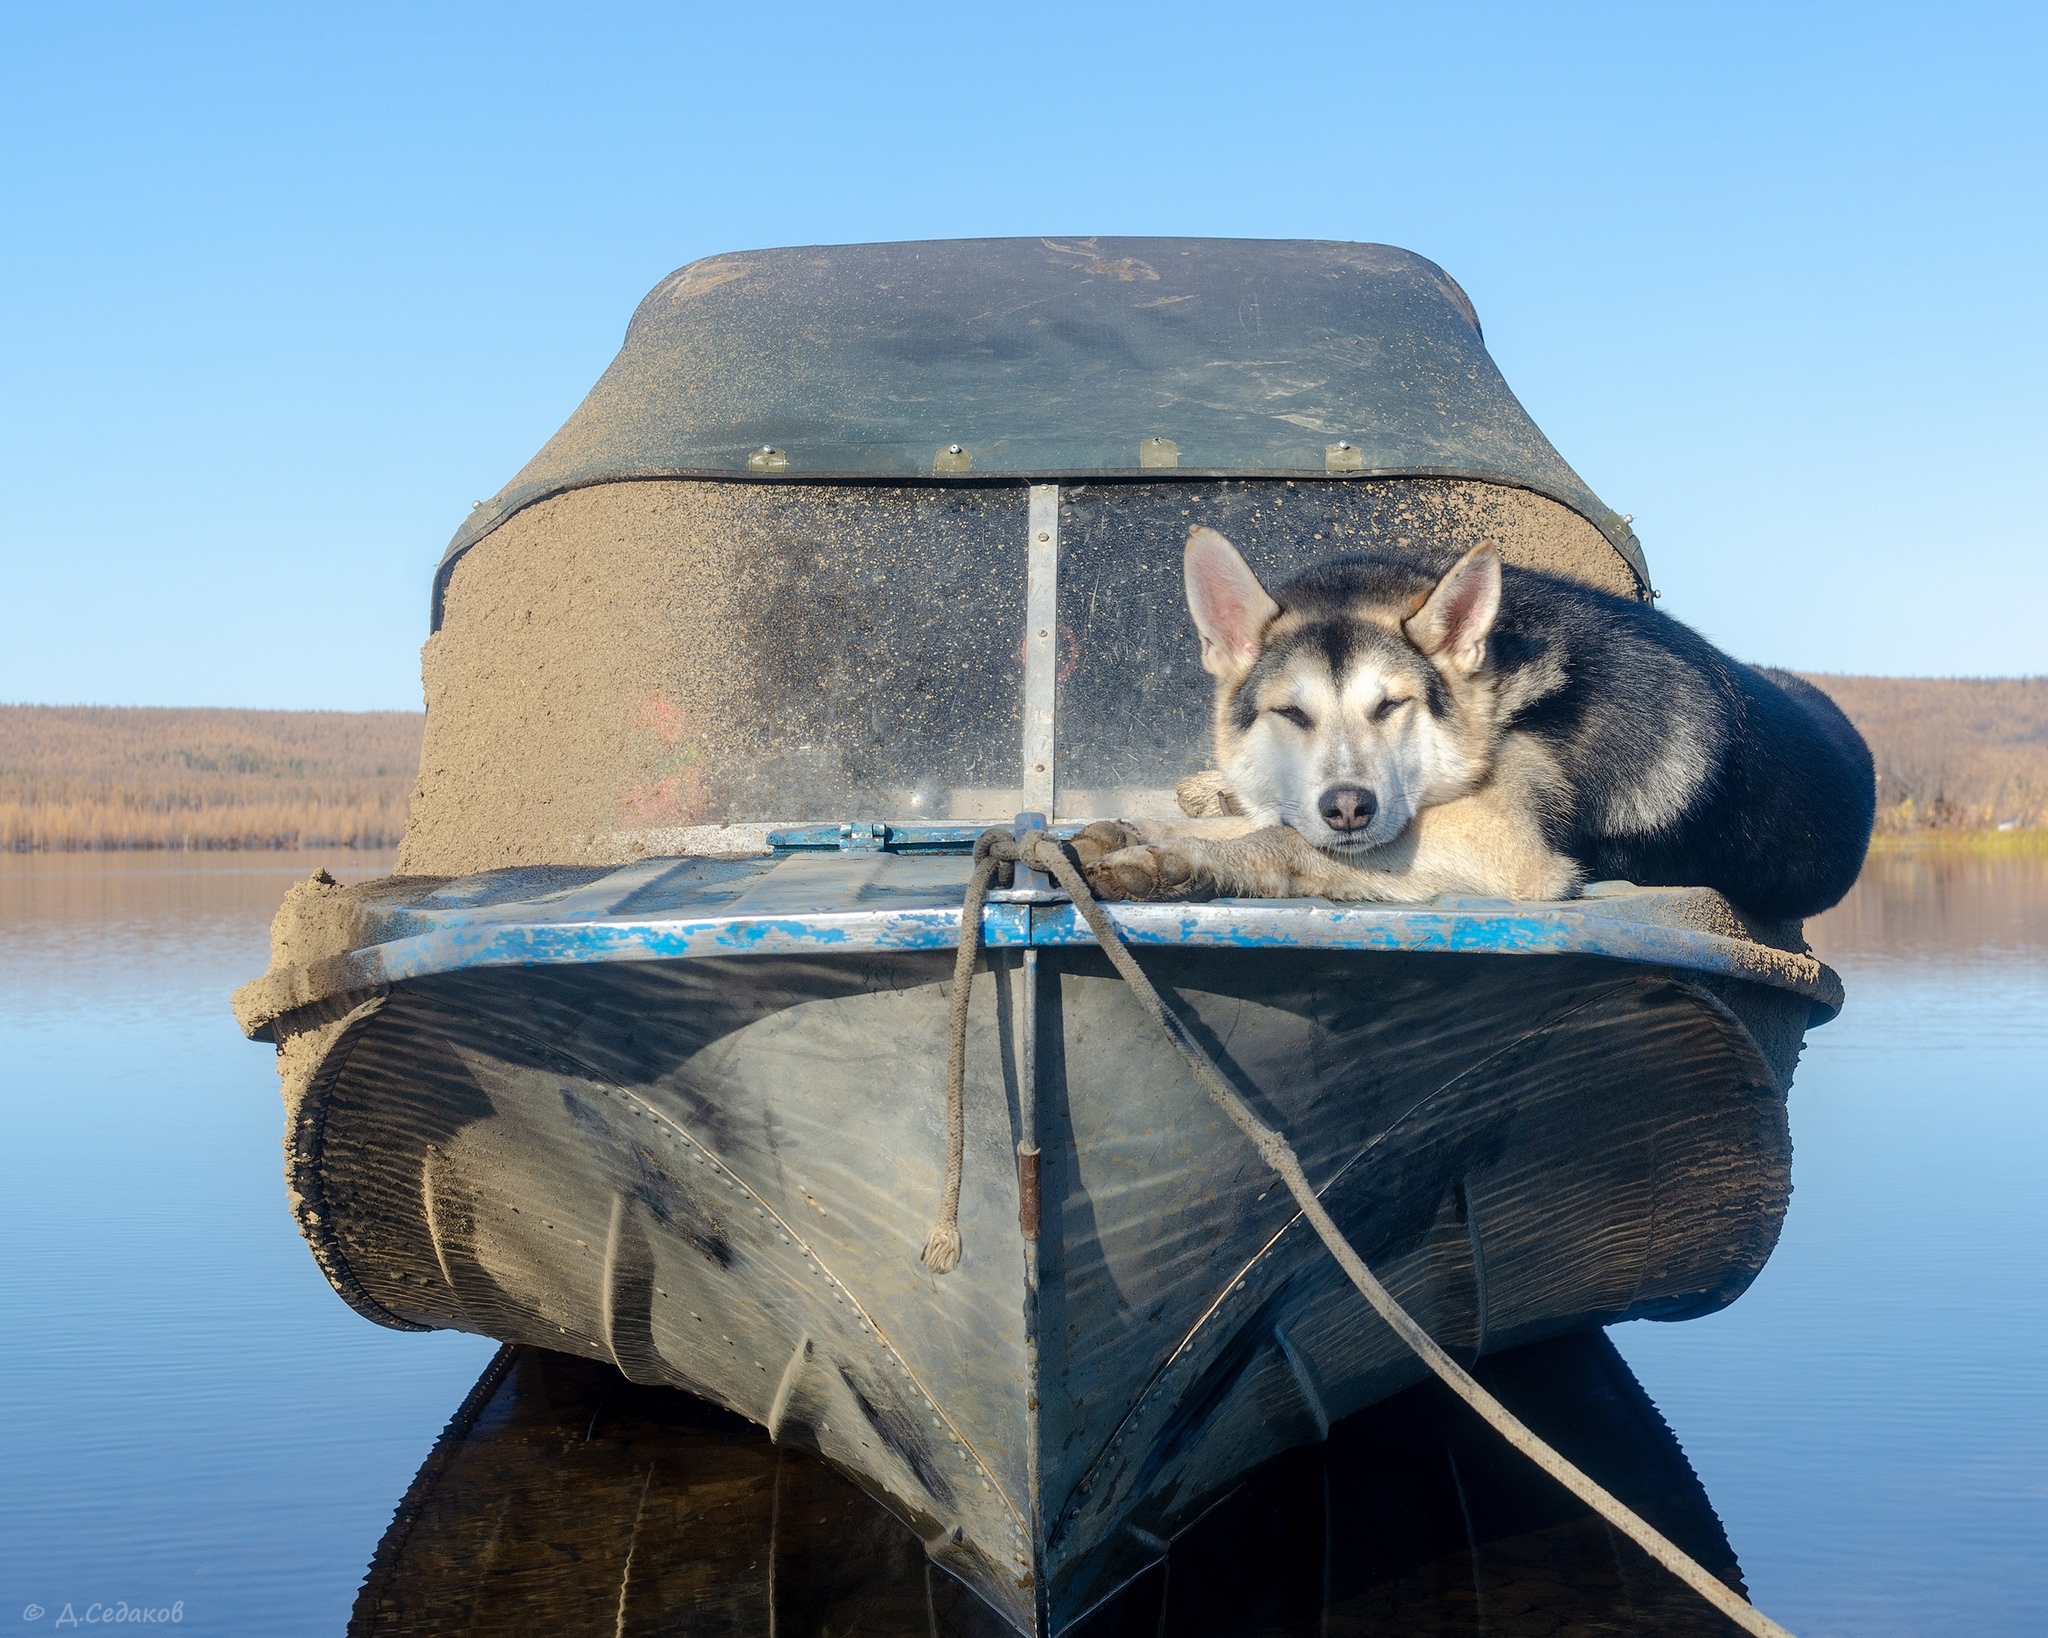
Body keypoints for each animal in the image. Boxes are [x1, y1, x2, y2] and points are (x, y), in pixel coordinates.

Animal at [1081, 532, 1875, 929]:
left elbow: (1286, 842)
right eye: (1293, 714)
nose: (1348, 809)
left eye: (1391, 706)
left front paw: (1174, 861)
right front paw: (1140, 831)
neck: (1495, 689)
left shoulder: (1506, 847)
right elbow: (1271, 824)